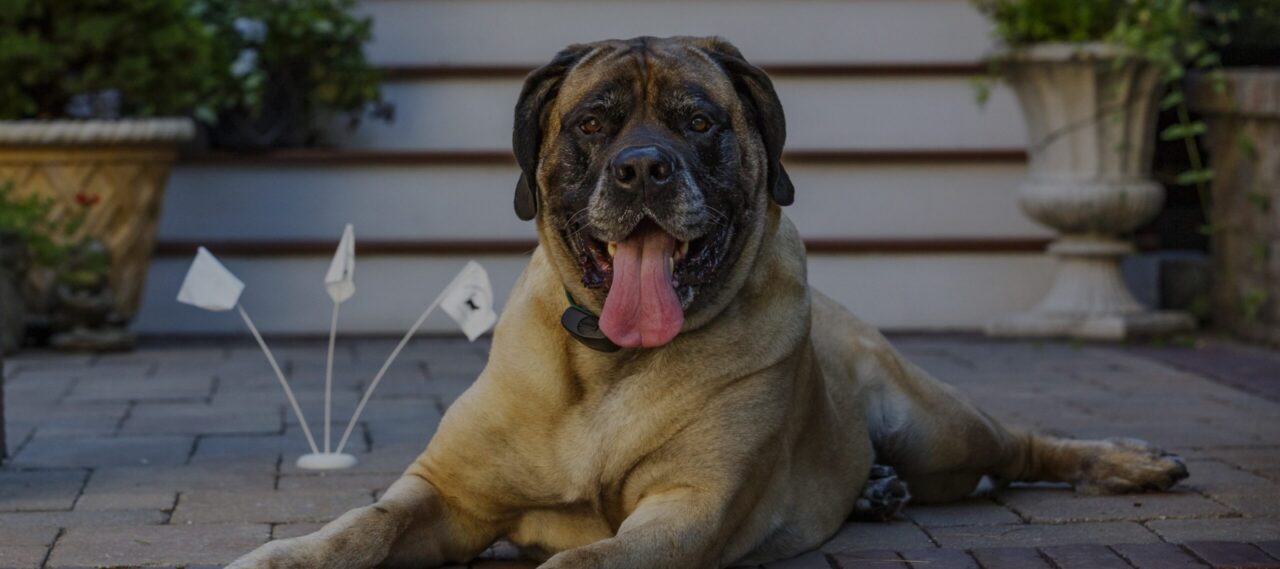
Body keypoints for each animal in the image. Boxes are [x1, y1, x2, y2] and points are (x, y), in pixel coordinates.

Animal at [228, 36, 1188, 568]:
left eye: (698, 122)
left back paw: (1128, 461)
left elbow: (586, 562)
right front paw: (284, 554)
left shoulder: (686, 510)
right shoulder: (449, 494)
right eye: (592, 122)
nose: (643, 169)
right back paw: (875, 489)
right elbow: (361, 525)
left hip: (939, 427)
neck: (604, 365)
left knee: (1022, 444)